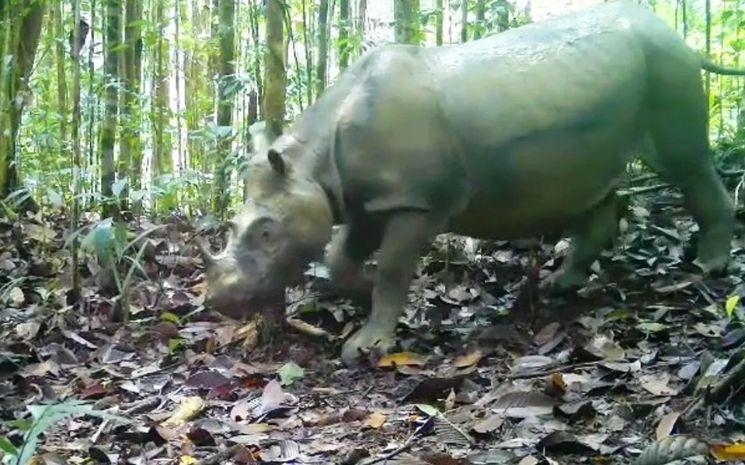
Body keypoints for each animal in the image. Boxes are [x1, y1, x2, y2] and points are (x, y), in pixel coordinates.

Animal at [201, 2, 742, 363]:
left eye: (267, 234)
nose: (220, 300)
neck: (310, 162)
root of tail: (680, 39)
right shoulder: (369, 198)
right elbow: (339, 258)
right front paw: (364, 289)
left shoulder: (417, 202)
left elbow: (394, 266)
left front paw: (368, 344)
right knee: (595, 187)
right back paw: (563, 285)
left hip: (667, 67)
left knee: (686, 163)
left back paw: (709, 266)